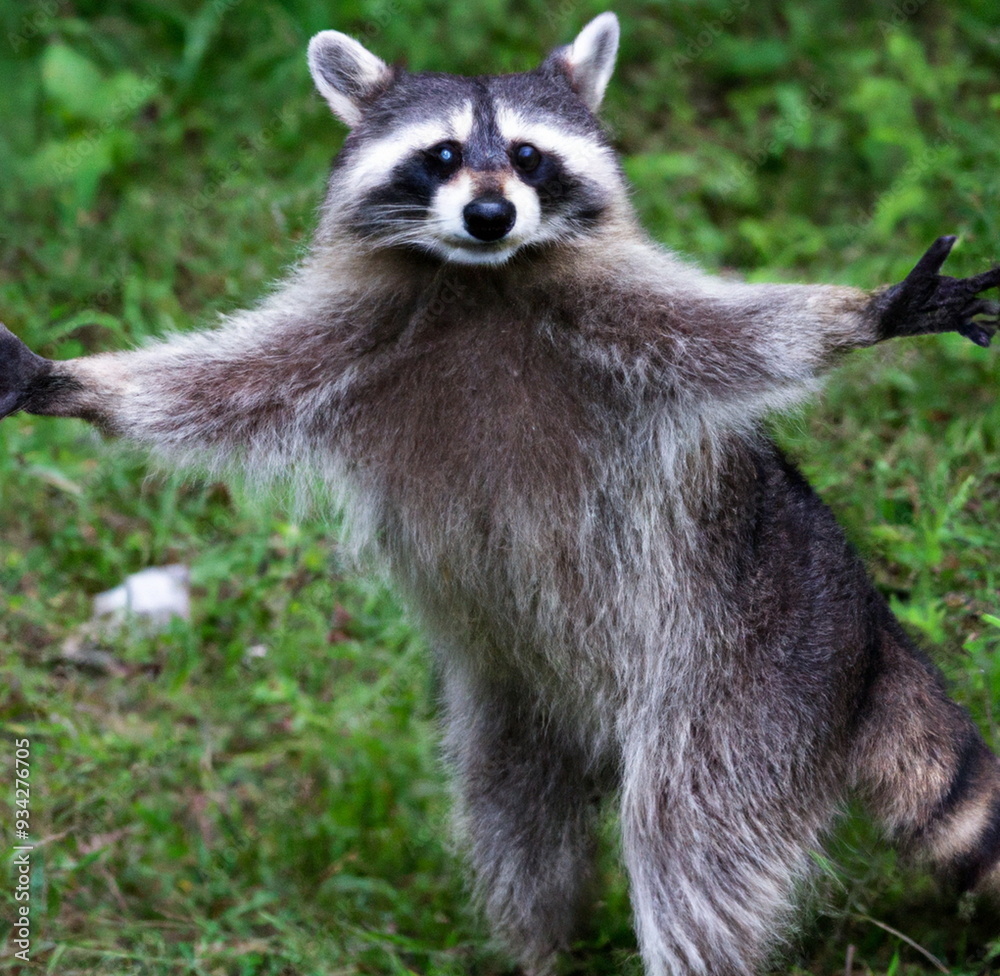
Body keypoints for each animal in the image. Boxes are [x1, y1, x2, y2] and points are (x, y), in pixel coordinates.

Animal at [2, 12, 999, 975]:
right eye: (442, 155)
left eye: (526, 155)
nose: (490, 214)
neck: (482, 278)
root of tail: (870, 633)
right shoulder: (345, 340)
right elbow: (214, 388)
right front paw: (81, 385)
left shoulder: (632, 328)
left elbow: (749, 335)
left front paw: (865, 313)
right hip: (522, 698)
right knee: (514, 819)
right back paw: (540, 948)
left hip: (754, 682)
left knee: (690, 841)